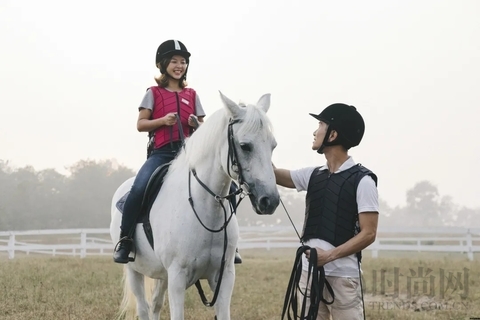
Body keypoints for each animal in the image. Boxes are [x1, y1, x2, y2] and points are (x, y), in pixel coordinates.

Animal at [109, 91, 282, 318]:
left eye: (273, 146)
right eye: (245, 146)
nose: (270, 201)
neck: (205, 210)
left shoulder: (224, 277)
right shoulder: (177, 278)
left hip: (161, 275)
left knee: (155, 305)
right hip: (134, 270)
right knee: (143, 308)